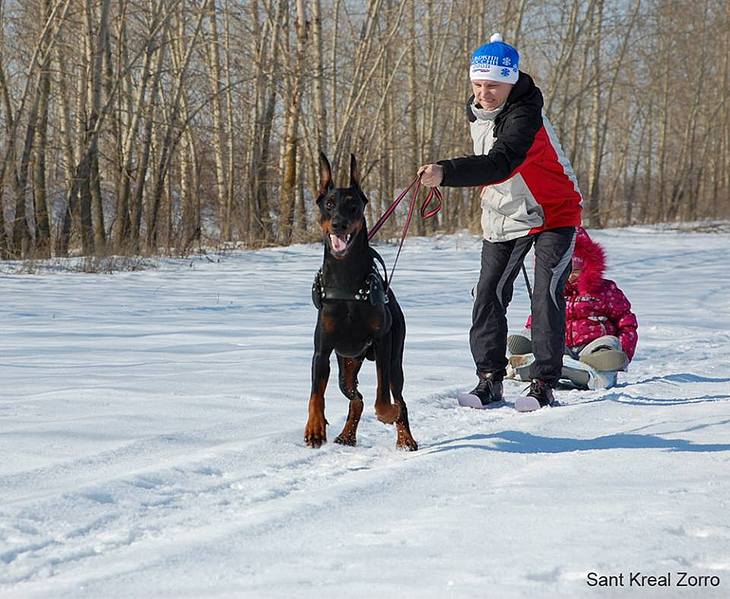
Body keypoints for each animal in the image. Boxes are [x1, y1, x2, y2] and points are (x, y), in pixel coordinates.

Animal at [302, 152, 416, 452]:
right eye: (329, 204)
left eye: (353, 205)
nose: (339, 223)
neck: (347, 282)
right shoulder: (322, 351)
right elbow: (316, 394)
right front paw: (315, 429)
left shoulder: (382, 340)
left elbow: (382, 394)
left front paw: (387, 414)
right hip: (347, 363)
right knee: (355, 396)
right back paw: (346, 435)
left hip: (395, 355)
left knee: (398, 396)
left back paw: (406, 438)